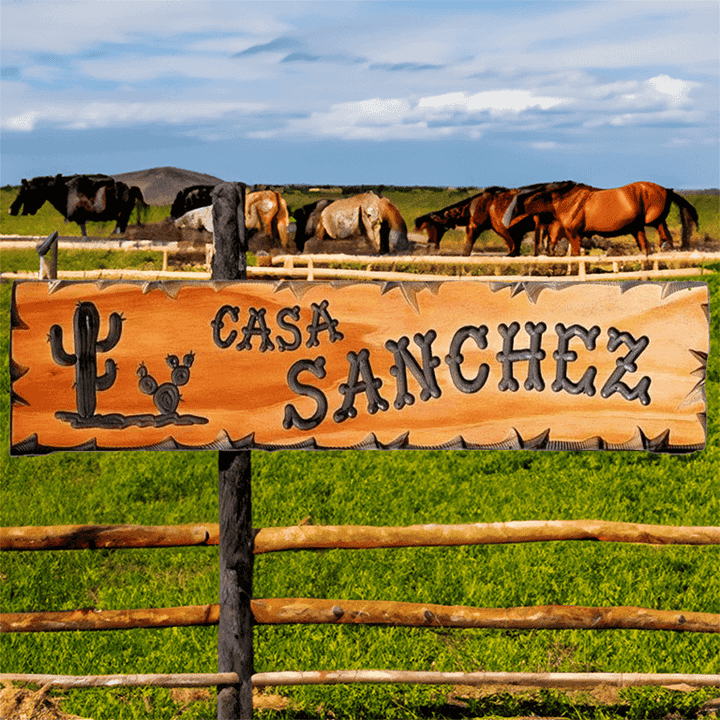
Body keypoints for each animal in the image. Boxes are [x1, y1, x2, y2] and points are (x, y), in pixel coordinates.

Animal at [8, 172, 146, 235]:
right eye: (20, 191)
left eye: (26, 191)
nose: (11, 210)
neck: (64, 192)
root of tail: (131, 189)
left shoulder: (79, 219)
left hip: (122, 216)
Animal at [500, 180, 696, 256]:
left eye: (516, 205)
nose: (506, 223)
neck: (568, 200)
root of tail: (666, 190)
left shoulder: (574, 234)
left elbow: (576, 255)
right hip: (639, 228)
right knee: (648, 246)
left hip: (653, 221)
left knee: (664, 236)